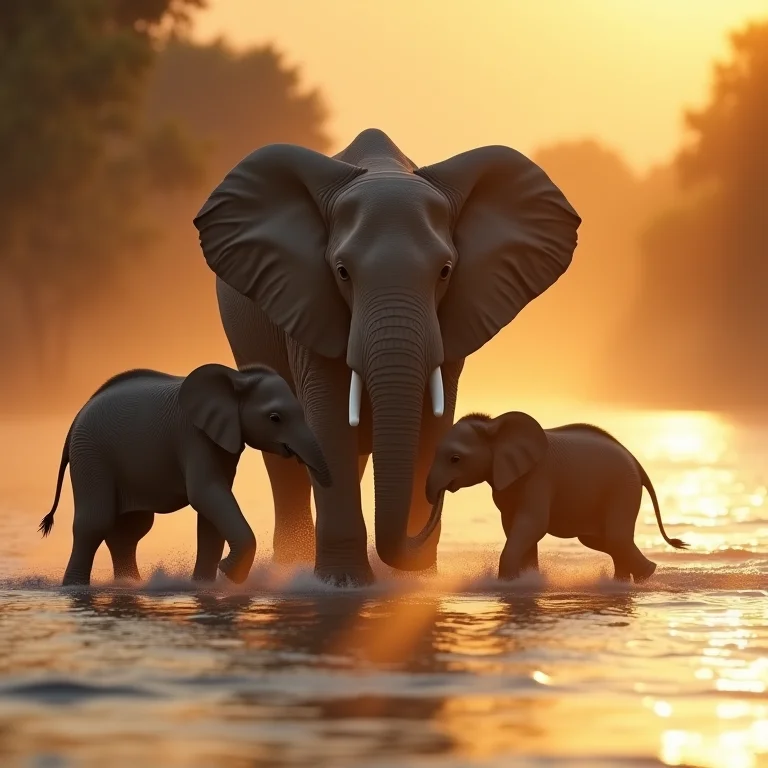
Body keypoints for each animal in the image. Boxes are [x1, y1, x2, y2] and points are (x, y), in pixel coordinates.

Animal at [38, 363, 331, 586]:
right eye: (274, 418)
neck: (235, 378)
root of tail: (75, 419)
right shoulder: (193, 436)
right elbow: (206, 494)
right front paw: (228, 573)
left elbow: (210, 512)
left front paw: (205, 585)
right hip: (91, 456)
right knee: (96, 523)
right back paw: (75, 588)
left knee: (130, 530)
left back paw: (129, 585)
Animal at [193, 128, 581, 586]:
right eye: (342, 272)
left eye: (445, 271)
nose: (441, 495)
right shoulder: (305, 297)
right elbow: (328, 415)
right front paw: (343, 585)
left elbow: (432, 420)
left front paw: (417, 587)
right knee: (283, 462)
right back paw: (290, 569)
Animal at [420, 412, 688, 582]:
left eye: (455, 459)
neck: (495, 426)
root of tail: (636, 462)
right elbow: (515, 527)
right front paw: (526, 581)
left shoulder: (538, 477)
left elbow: (532, 525)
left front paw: (507, 583)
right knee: (600, 540)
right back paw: (626, 582)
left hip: (623, 488)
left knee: (615, 538)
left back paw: (644, 577)